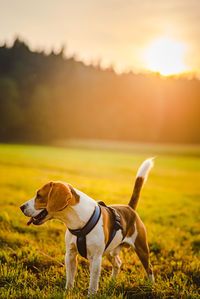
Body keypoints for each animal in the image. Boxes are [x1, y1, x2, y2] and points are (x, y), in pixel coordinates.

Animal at [20, 158, 155, 294]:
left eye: (38, 195)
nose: (21, 207)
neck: (78, 222)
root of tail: (129, 208)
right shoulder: (70, 254)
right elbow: (70, 278)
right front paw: (68, 292)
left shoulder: (95, 259)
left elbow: (93, 283)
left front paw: (91, 294)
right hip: (109, 250)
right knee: (117, 263)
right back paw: (112, 282)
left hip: (141, 248)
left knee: (149, 268)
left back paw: (151, 286)